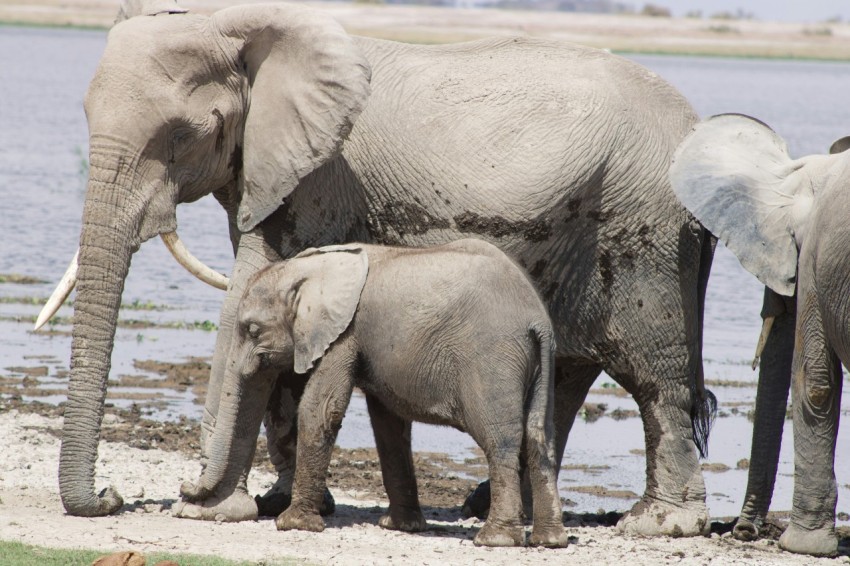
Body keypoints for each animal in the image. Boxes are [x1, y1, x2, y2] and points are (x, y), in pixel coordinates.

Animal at [180, 239, 570, 548]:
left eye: (252, 330)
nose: (185, 494)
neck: (310, 268)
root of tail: (537, 320)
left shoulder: (342, 334)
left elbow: (321, 410)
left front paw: (292, 524)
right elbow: (388, 424)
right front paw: (401, 527)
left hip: (492, 360)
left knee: (500, 441)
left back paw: (495, 540)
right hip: (540, 364)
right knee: (540, 439)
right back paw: (550, 541)